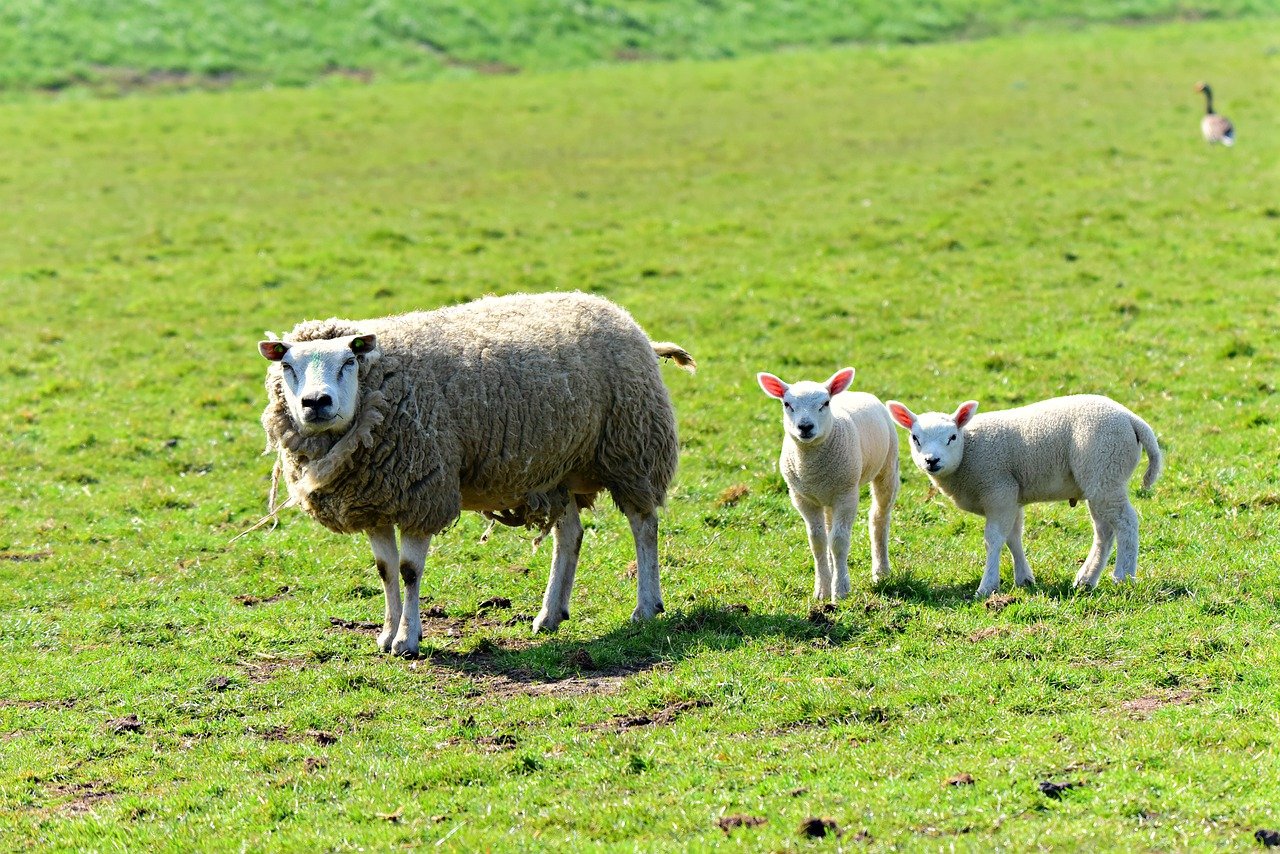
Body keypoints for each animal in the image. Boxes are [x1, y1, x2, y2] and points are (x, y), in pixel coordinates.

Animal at [257, 291, 695, 655]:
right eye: (288, 366)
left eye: (349, 362)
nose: (316, 402)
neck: (381, 391)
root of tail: (621, 316)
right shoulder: (375, 503)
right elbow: (385, 571)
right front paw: (386, 633)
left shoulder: (423, 491)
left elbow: (409, 571)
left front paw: (407, 640)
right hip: (558, 466)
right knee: (570, 535)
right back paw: (550, 615)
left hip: (631, 448)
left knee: (644, 524)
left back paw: (646, 606)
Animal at [757, 368, 899, 600]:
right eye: (787, 404)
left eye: (825, 403)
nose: (805, 427)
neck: (811, 465)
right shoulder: (803, 498)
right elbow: (818, 542)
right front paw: (822, 589)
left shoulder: (847, 494)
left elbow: (839, 542)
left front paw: (840, 590)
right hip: (828, 495)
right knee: (830, 527)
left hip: (887, 468)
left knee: (879, 518)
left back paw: (881, 571)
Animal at [884, 395, 1162, 598]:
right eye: (915, 438)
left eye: (952, 437)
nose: (932, 461)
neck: (968, 451)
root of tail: (1131, 419)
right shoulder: (1011, 496)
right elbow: (1013, 537)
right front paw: (1024, 579)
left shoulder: (998, 489)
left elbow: (994, 540)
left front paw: (987, 587)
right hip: (1100, 480)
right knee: (1104, 531)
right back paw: (1085, 580)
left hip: (1106, 468)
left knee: (1126, 523)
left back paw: (1123, 577)